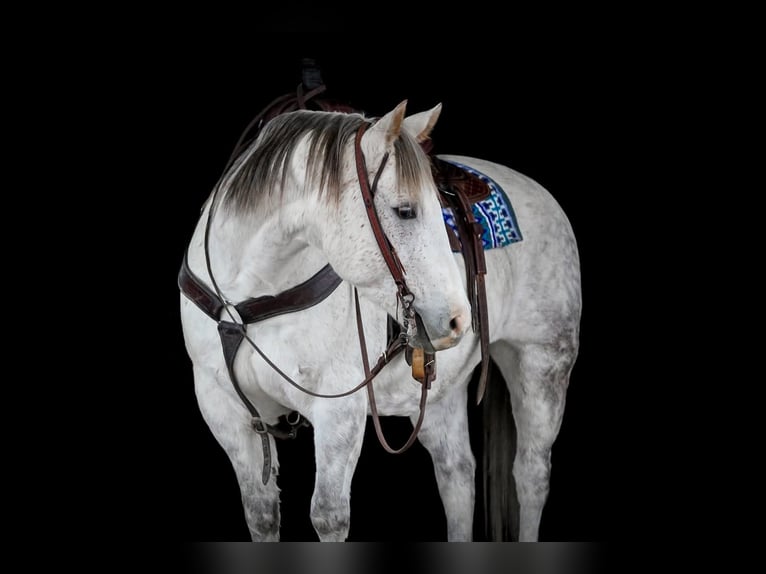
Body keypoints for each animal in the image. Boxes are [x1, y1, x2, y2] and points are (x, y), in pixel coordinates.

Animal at [179, 100, 581, 541]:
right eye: (405, 211)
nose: (459, 319)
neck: (247, 296)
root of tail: (539, 192)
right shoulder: (221, 405)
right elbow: (261, 513)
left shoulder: (339, 410)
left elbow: (329, 516)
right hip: (441, 392)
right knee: (457, 474)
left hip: (543, 363)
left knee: (530, 474)